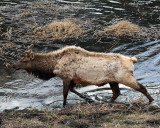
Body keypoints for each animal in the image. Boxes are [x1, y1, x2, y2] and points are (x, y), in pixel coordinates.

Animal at [13, 45, 154, 105]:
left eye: (24, 60)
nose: (13, 65)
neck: (53, 66)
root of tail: (131, 60)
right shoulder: (73, 79)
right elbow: (73, 90)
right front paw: (88, 98)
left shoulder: (66, 77)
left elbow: (65, 94)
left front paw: (64, 105)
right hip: (113, 80)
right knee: (116, 93)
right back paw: (107, 101)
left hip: (125, 77)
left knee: (141, 87)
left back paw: (151, 100)